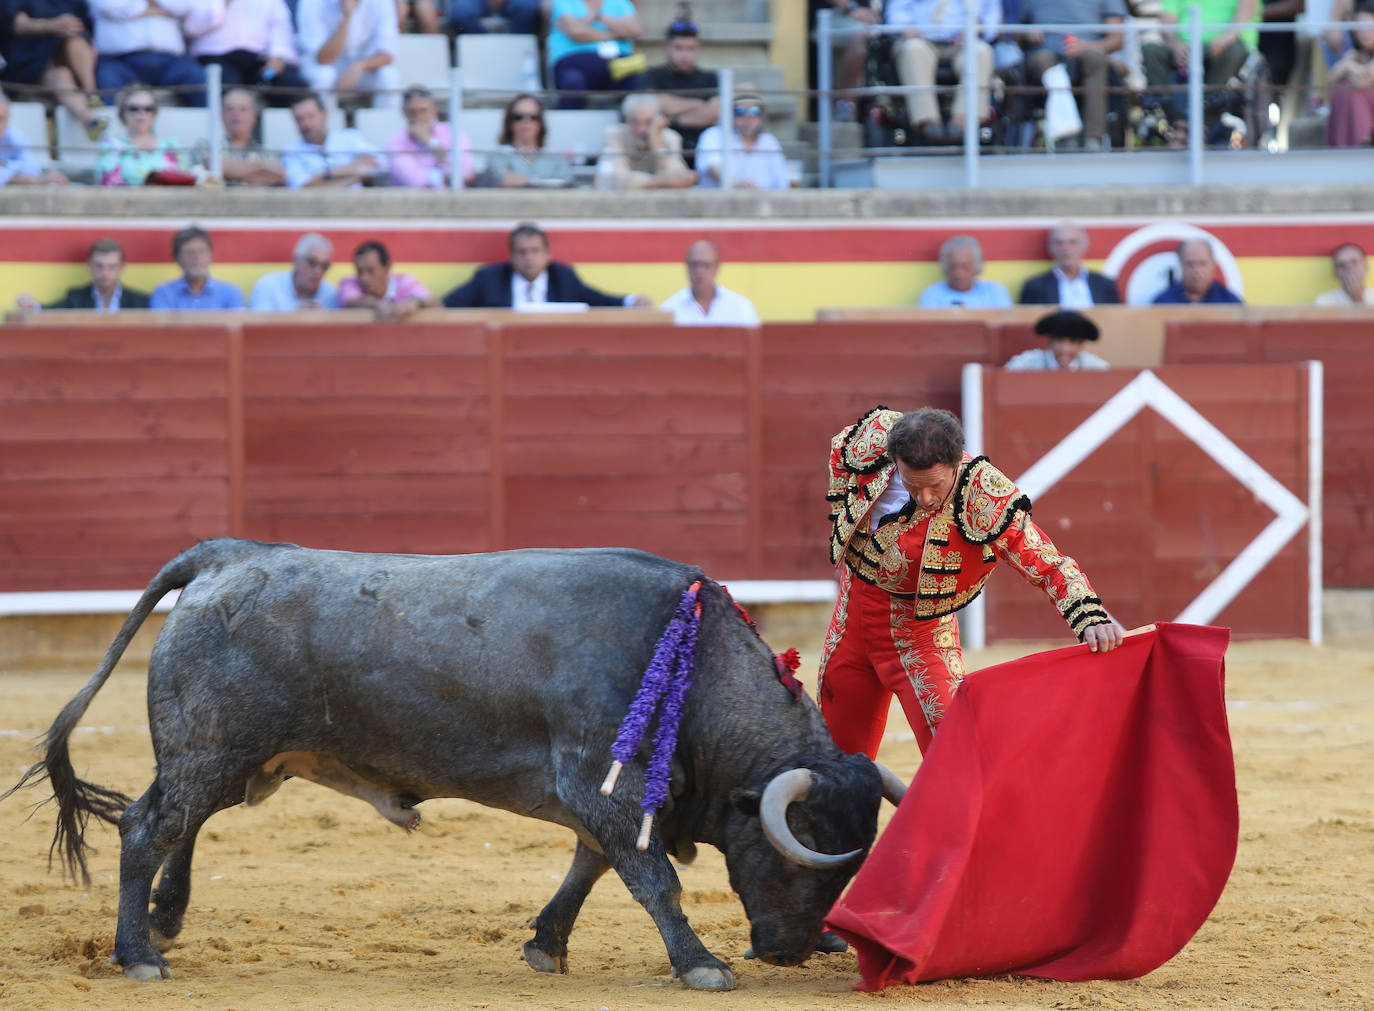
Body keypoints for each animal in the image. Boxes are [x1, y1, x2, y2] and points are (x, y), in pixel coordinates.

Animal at [8, 541, 901, 989]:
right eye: (801, 860)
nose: (791, 950)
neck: (698, 664)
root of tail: (223, 557)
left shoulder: (601, 795)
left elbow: (588, 867)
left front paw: (546, 943)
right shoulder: (603, 783)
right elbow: (652, 878)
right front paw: (701, 964)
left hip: (228, 756)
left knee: (171, 822)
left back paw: (164, 920)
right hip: (213, 748)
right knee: (146, 826)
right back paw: (139, 954)